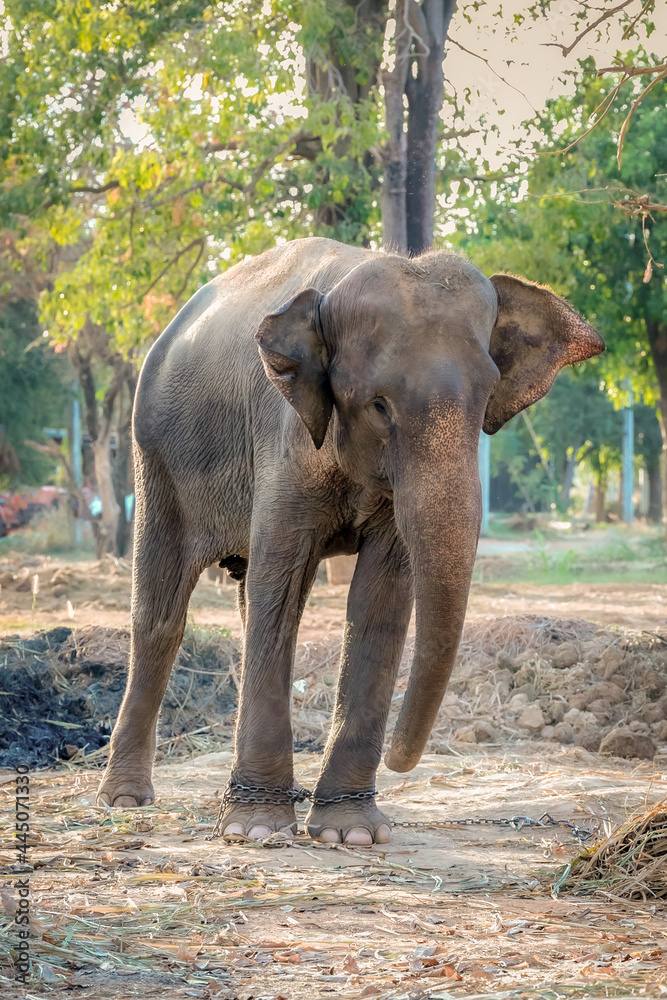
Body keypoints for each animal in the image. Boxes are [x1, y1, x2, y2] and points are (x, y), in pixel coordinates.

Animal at [97, 237, 604, 845]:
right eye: (379, 405)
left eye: (486, 399)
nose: (400, 759)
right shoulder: (284, 441)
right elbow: (281, 588)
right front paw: (257, 829)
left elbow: (380, 600)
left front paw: (351, 833)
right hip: (154, 454)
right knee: (162, 612)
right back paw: (125, 799)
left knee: (240, 598)